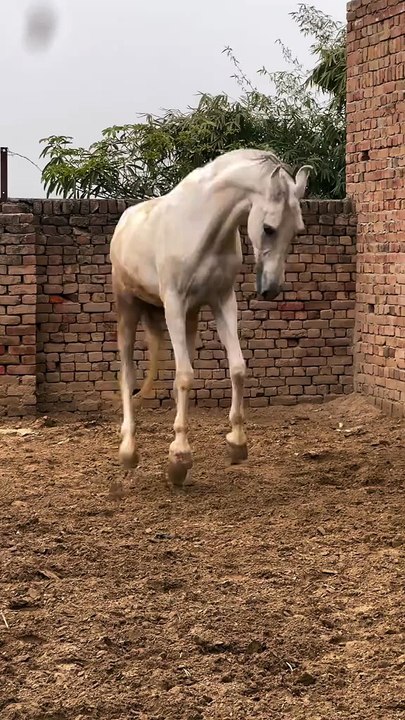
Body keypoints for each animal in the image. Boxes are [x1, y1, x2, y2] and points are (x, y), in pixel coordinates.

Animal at [110, 148, 312, 485]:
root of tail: (123, 224)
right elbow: (185, 376)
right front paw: (179, 457)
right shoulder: (174, 304)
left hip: (189, 317)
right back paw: (128, 450)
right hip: (128, 308)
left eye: (297, 231)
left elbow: (236, 368)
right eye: (268, 228)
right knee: (128, 375)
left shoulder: (222, 302)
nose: (270, 289)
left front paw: (236, 443)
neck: (204, 228)